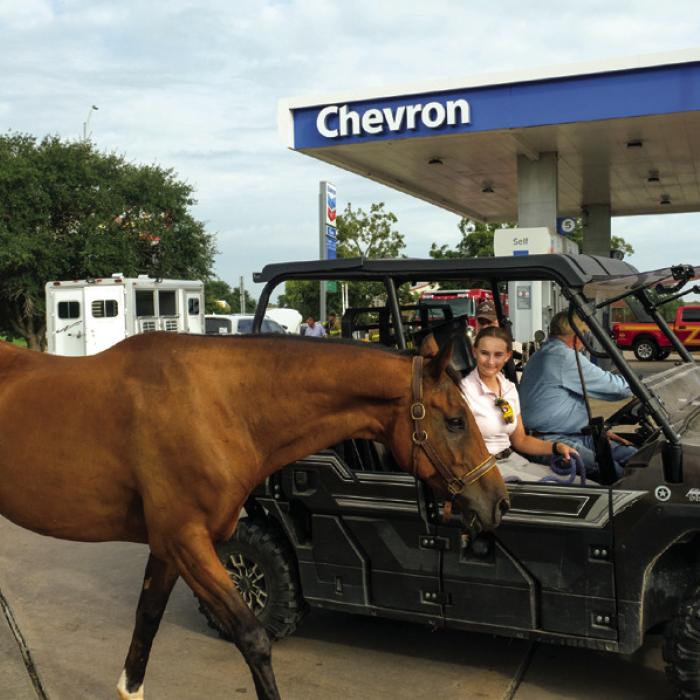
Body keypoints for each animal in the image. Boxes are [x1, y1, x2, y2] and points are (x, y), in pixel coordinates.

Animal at [0, 332, 508, 699]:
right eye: (456, 420)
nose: (497, 501)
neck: (219, 406)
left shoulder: (166, 547)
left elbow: (145, 630)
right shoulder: (188, 543)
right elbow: (253, 638)